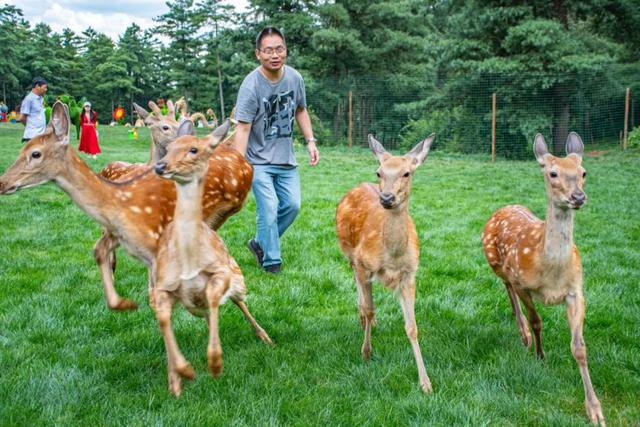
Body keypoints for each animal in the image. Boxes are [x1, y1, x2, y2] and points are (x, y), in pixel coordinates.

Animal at [154, 125, 272, 396]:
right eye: (169, 146)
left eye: (194, 149)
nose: (160, 166)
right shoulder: (163, 288)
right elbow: (165, 320)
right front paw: (176, 378)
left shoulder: (221, 276)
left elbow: (217, 301)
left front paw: (215, 362)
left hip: (236, 276)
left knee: (239, 302)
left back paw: (265, 337)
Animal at [336, 134, 436, 394]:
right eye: (379, 172)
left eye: (407, 173)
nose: (387, 198)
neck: (392, 256)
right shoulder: (363, 263)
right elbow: (370, 308)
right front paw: (366, 352)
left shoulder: (410, 274)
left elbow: (412, 327)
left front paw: (425, 383)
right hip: (348, 251)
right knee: (357, 284)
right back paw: (363, 318)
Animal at [484, 133, 604, 424]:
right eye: (553, 173)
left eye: (583, 172)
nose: (578, 196)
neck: (550, 270)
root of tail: (503, 208)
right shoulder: (523, 283)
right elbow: (536, 320)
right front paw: (540, 354)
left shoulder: (576, 290)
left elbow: (579, 347)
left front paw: (594, 409)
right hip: (497, 263)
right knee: (508, 289)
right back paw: (524, 335)